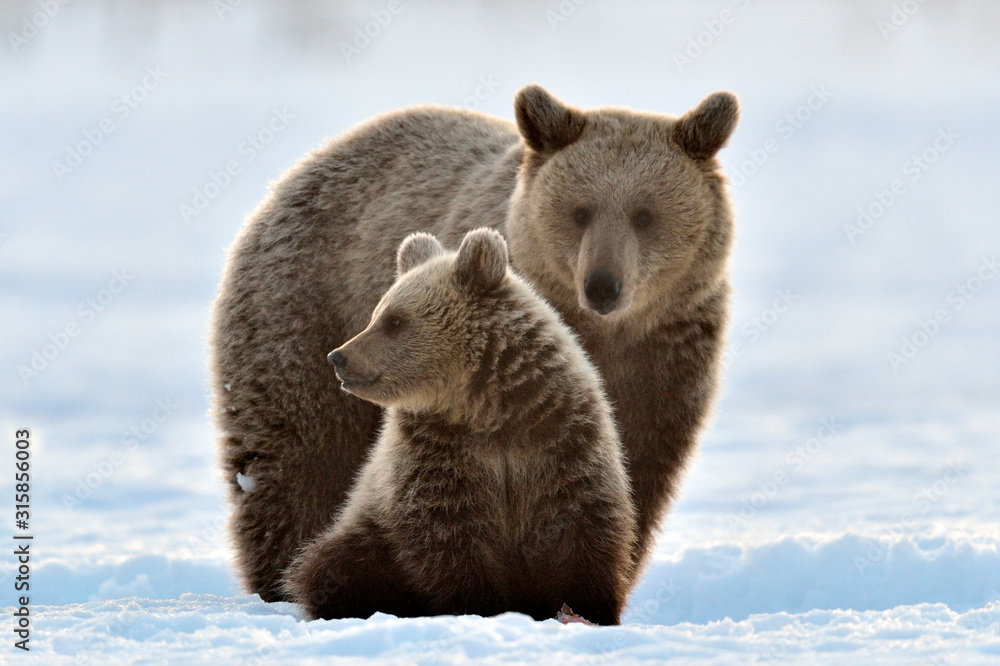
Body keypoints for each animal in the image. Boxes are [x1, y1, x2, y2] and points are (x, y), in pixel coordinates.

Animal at [282, 228, 638, 625]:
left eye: (394, 320)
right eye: (377, 313)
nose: (338, 357)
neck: (487, 411)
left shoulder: (560, 437)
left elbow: (581, 523)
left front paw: (586, 611)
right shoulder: (438, 453)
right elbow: (447, 535)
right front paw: (478, 607)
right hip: (371, 530)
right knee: (334, 564)